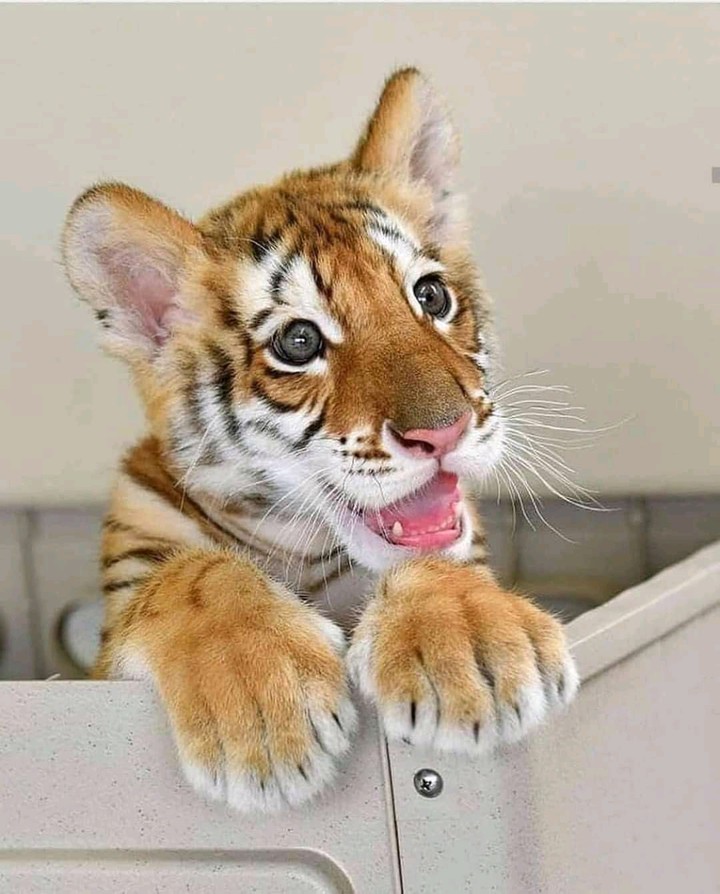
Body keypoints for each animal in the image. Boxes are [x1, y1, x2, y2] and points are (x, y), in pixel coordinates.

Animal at [61, 68, 579, 814]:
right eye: (299, 342)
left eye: (430, 297)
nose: (444, 429)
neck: (298, 547)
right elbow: (192, 574)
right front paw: (263, 714)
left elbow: (433, 556)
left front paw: (476, 653)